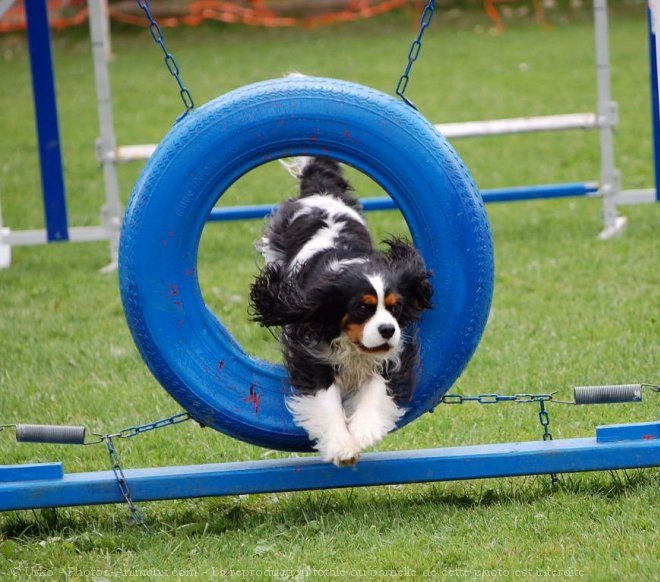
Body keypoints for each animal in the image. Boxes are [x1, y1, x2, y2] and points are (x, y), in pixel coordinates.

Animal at [249, 157, 434, 468]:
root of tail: (321, 192)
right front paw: (342, 446)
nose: (388, 330)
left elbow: (378, 389)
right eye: (362, 308)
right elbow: (325, 399)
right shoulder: (310, 350)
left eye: (395, 307)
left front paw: (361, 430)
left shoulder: (395, 354)